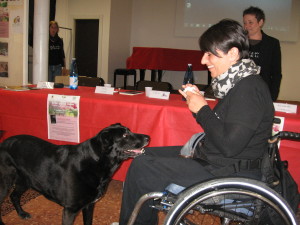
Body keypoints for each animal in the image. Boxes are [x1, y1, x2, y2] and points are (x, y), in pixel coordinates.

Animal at [0, 124, 149, 224]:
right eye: (124, 135)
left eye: (129, 131)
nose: (148, 137)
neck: (95, 163)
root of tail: (3, 143)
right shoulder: (69, 210)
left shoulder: (89, 205)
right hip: (5, 183)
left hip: (26, 180)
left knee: (14, 196)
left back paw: (21, 213)